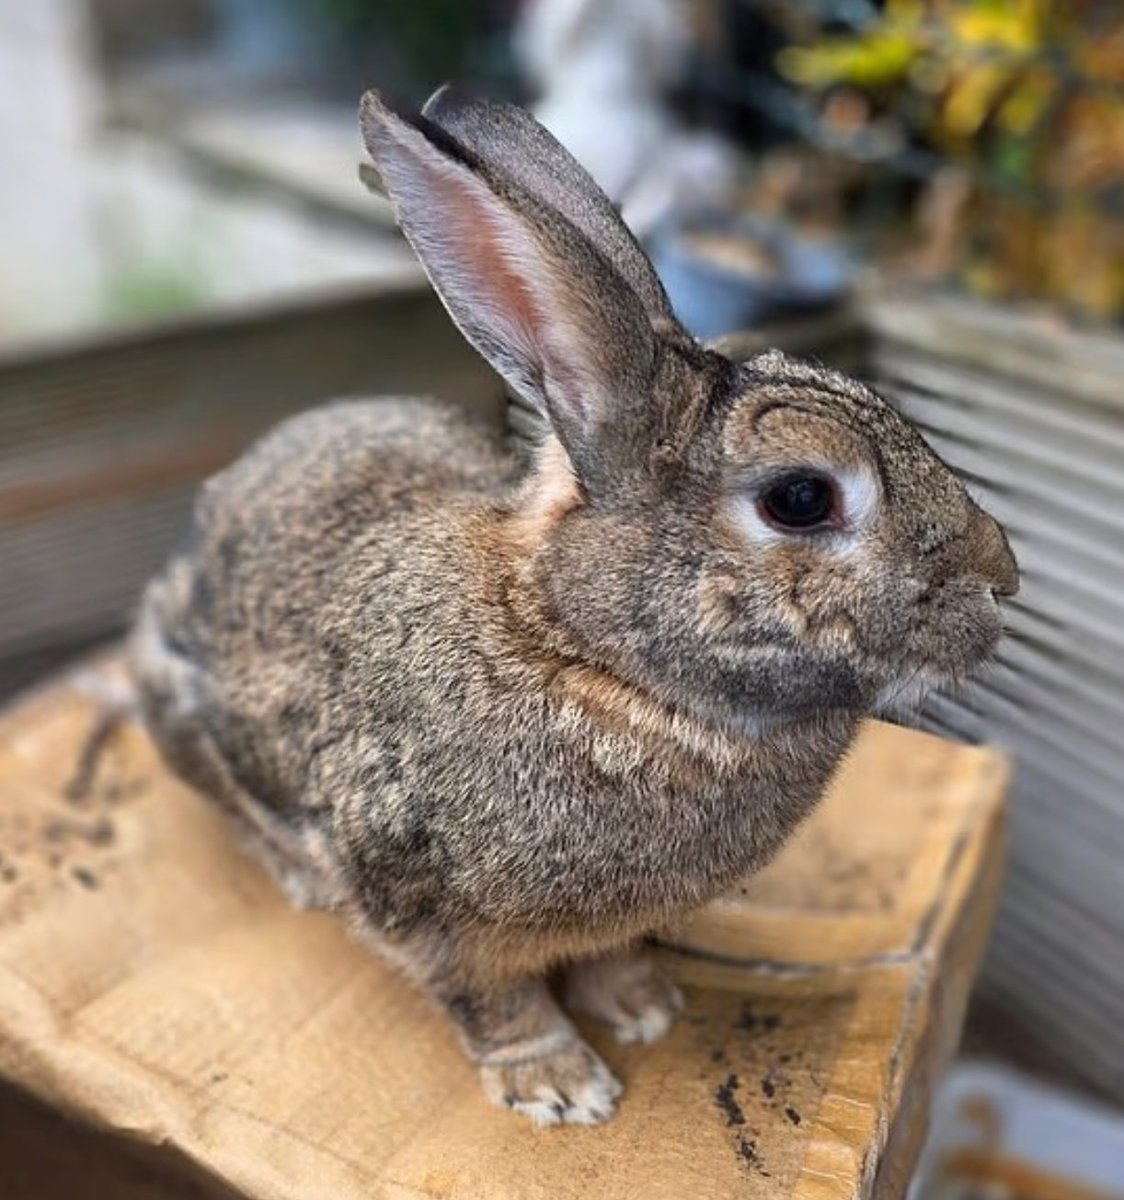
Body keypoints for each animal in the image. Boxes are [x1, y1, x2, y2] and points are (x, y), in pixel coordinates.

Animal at [129, 85, 1019, 1127]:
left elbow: (607, 958)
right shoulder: (419, 901)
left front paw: (643, 1008)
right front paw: (562, 1088)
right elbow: (493, 1000)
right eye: (801, 498)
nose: (1003, 579)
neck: (586, 652)